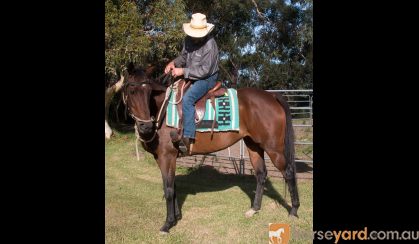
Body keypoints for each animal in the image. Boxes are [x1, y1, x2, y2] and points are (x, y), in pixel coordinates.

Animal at [123, 63, 300, 234]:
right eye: (131, 91)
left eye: (148, 92)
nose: (146, 127)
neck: (163, 110)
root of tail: (271, 96)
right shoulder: (161, 158)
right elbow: (173, 186)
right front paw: (177, 216)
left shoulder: (167, 156)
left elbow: (168, 190)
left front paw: (168, 224)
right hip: (254, 146)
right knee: (261, 174)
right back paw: (254, 209)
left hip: (273, 148)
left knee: (289, 172)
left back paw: (293, 210)